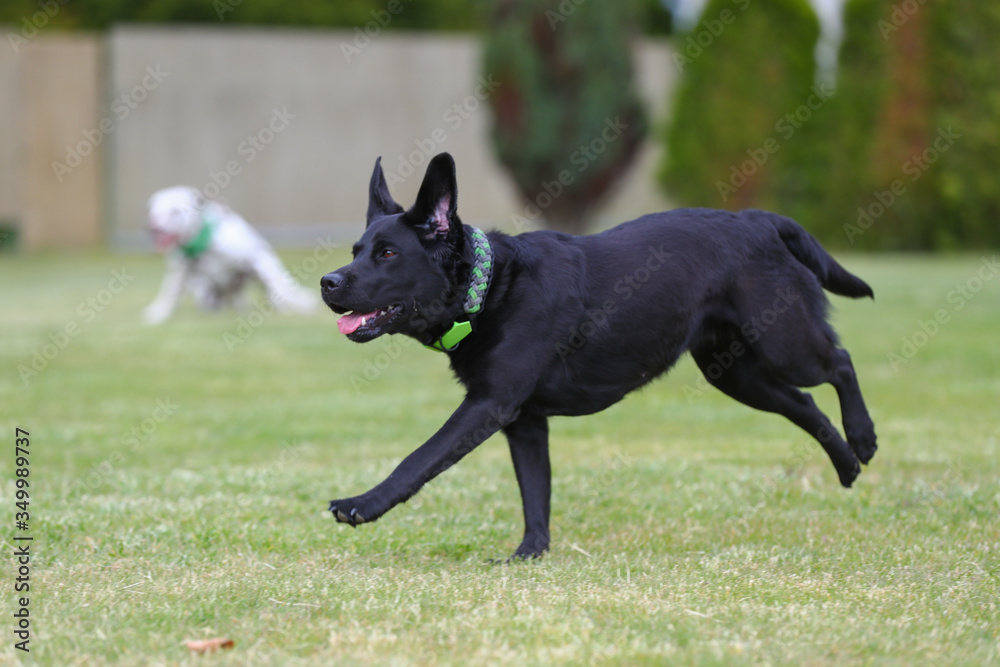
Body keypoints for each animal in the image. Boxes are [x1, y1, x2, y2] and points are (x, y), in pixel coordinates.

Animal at [143, 187, 316, 324]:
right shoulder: (179, 273)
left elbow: (279, 288)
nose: (153, 226)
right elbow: (168, 294)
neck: (205, 245)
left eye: (175, 212)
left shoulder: (258, 258)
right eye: (152, 212)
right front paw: (157, 315)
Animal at [320, 154, 876, 560]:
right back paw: (847, 465)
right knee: (806, 404)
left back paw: (864, 438)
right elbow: (535, 493)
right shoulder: (523, 422)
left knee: (841, 362)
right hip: (736, 375)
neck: (492, 286)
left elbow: (419, 459)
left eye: (388, 253)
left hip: (785, 344)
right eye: (355, 250)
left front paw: (361, 504)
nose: (327, 282)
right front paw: (530, 555)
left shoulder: (487, 406)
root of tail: (758, 221)